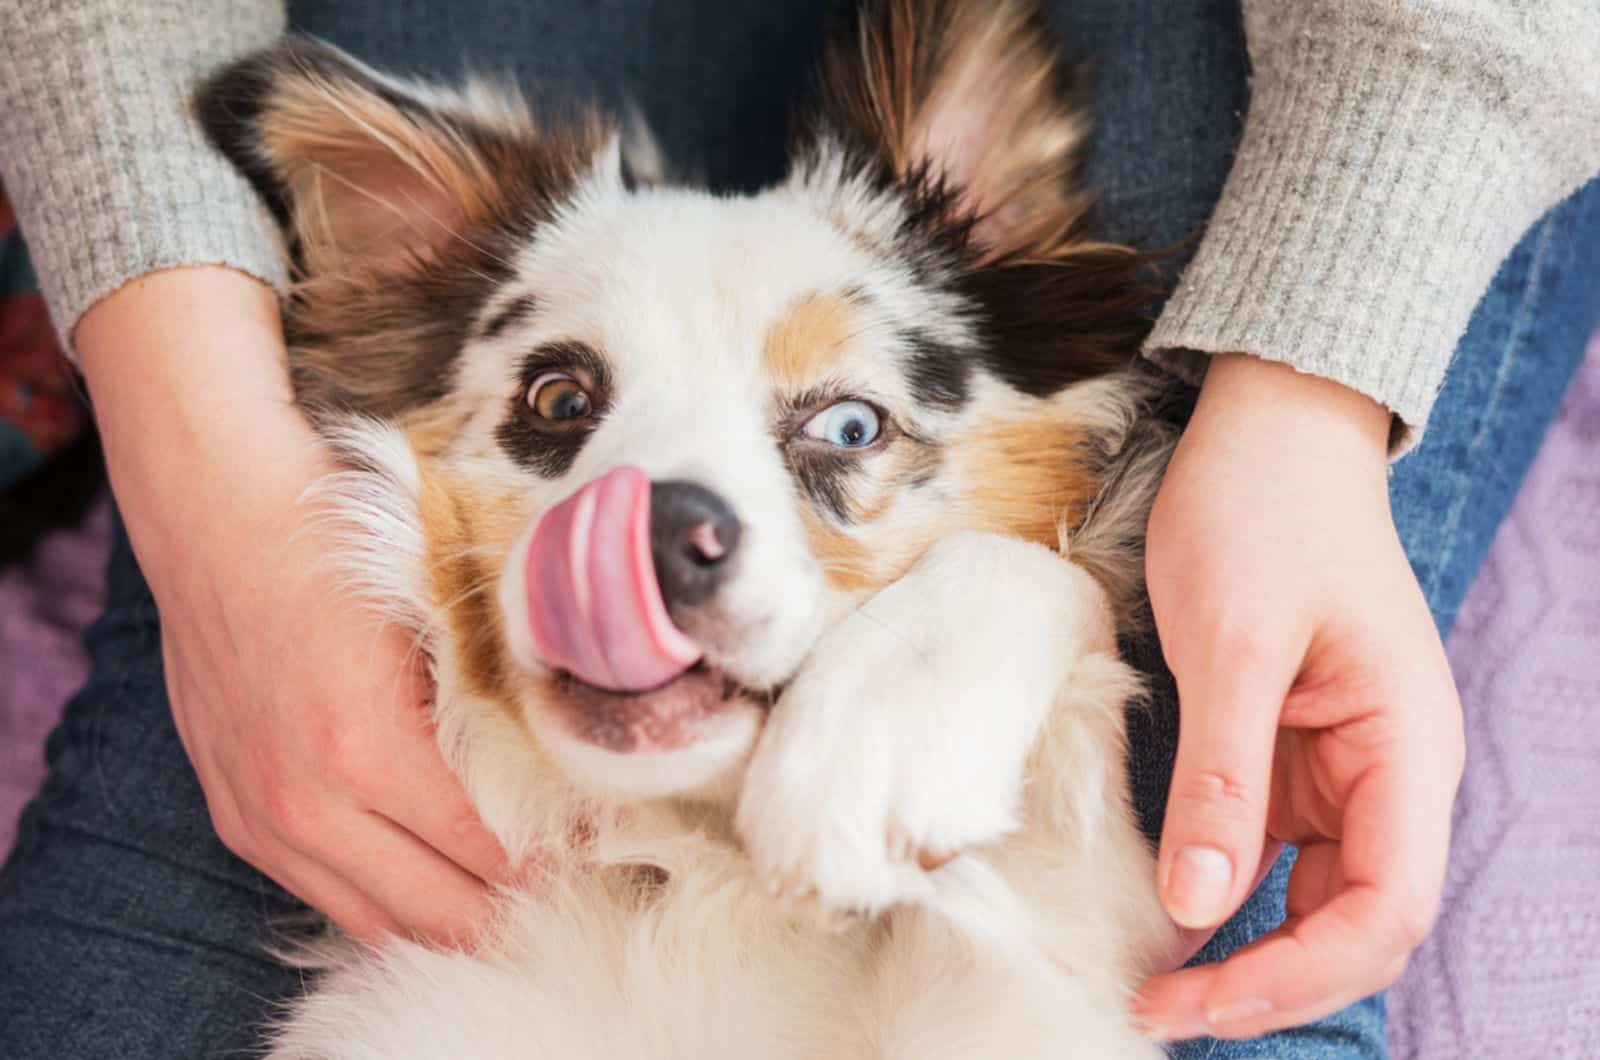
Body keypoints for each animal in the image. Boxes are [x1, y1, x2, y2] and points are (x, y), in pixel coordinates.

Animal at [193, 2, 1184, 1056]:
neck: (693, 869)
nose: (651, 540)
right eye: (558, 399)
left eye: (849, 425)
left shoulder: (1039, 985)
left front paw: (872, 748)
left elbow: (1037, 571)